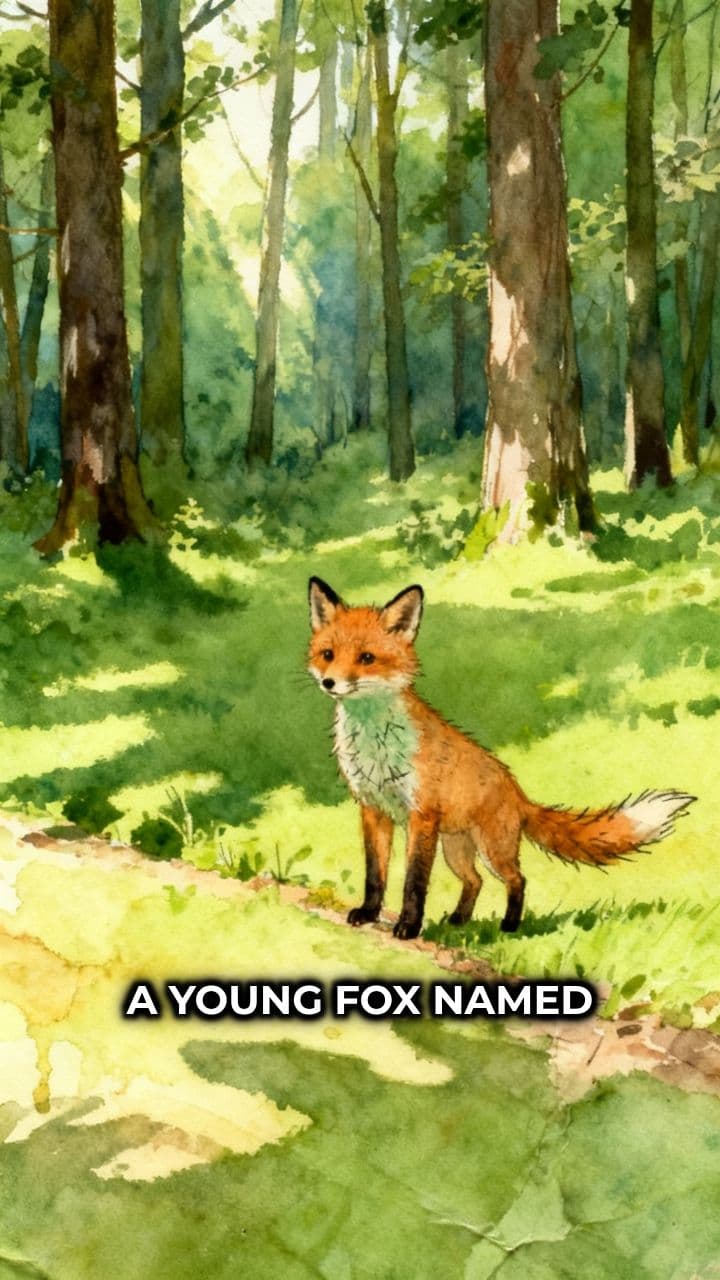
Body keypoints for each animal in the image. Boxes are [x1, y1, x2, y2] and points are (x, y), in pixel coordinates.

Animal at [307, 576, 696, 940]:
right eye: (328, 654)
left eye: (366, 658)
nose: (329, 683)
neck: (375, 743)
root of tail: (518, 791)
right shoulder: (373, 808)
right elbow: (376, 874)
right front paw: (368, 913)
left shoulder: (420, 816)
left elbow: (414, 883)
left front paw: (408, 926)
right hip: (456, 849)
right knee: (475, 881)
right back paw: (459, 920)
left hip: (491, 849)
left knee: (517, 879)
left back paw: (509, 925)